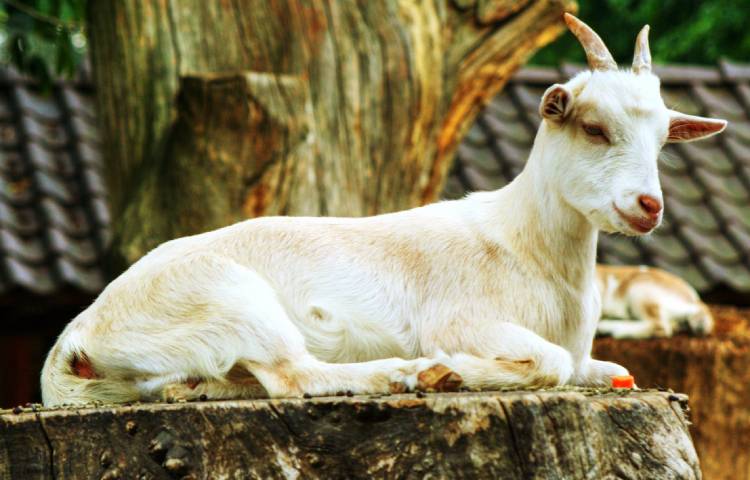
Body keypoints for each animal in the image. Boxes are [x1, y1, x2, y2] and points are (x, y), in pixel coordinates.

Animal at [41, 15, 728, 404]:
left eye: (664, 140)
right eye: (592, 128)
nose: (648, 206)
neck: (524, 245)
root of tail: (78, 334)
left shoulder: (589, 356)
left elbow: (614, 372)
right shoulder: (463, 318)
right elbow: (549, 363)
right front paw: (454, 367)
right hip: (229, 298)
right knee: (294, 375)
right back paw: (413, 375)